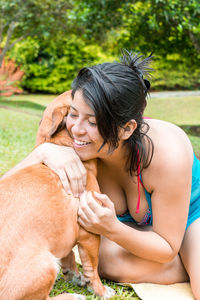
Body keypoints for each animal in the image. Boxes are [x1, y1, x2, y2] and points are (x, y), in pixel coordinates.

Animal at [0, 91, 114, 300]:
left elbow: (69, 255)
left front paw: (74, 275)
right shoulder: (90, 233)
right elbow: (92, 268)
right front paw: (100, 290)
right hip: (46, 265)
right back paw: (72, 296)